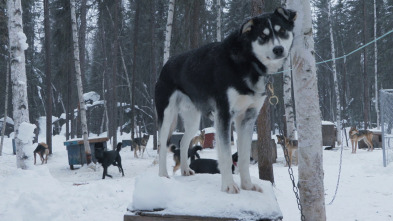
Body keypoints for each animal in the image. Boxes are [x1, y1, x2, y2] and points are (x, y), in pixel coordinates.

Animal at [155, 7, 296, 193]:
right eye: (263, 36)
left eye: (282, 31)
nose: (278, 49)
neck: (247, 62)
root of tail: (166, 65)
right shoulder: (224, 115)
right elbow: (227, 156)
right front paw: (229, 186)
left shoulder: (247, 118)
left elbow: (243, 157)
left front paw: (247, 185)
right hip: (167, 116)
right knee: (162, 145)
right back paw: (163, 175)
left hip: (193, 121)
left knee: (184, 142)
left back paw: (185, 169)